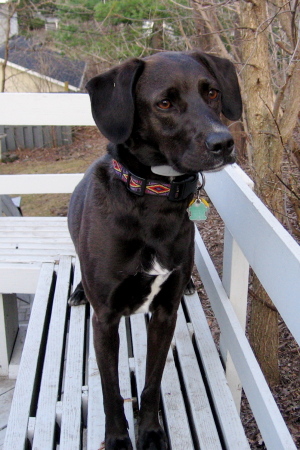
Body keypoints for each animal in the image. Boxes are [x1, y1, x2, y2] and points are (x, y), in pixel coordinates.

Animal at [68, 51, 241, 448]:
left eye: (211, 92)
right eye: (164, 103)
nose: (224, 143)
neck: (153, 198)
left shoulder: (165, 314)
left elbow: (150, 384)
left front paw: (149, 431)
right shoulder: (105, 320)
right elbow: (111, 390)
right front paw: (118, 437)